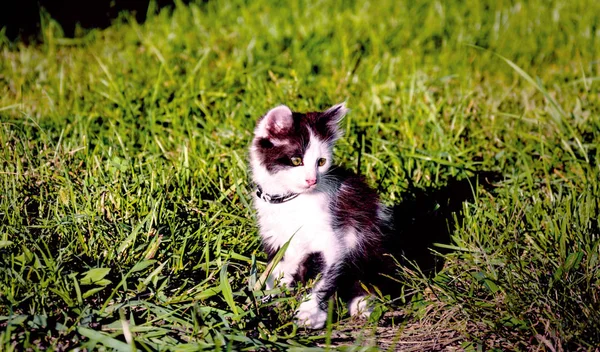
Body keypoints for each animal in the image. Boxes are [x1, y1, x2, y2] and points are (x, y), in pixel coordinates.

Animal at [248, 103, 394, 328]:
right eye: (296, 160)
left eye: (321, 162)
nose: (312, 180)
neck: (290, 201)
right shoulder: (277, 237)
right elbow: (281, 266)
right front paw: (273, 294)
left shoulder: (333, 239)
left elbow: (324, 276)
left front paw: (309, 313)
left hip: (371, 243)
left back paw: (363, 303)